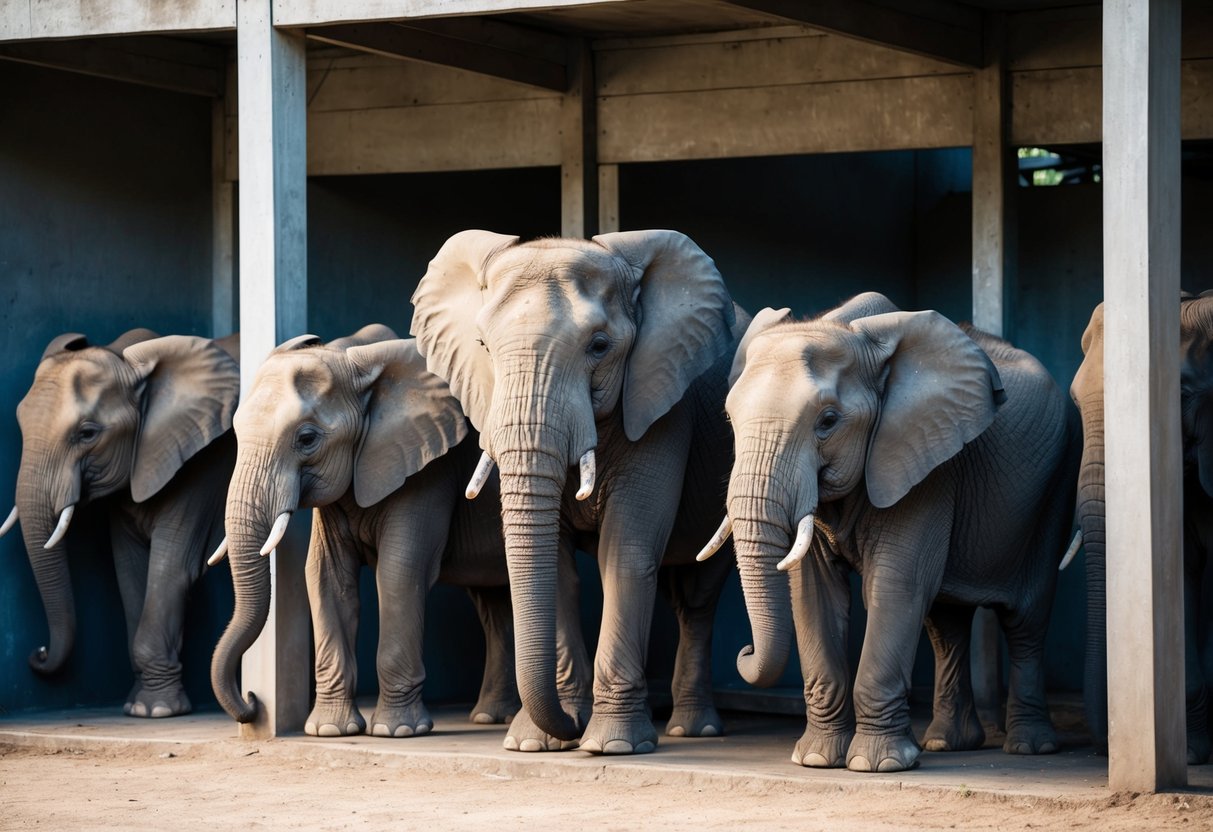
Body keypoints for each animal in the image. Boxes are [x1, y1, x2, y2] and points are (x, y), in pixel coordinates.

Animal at [3, 328, 240, 717]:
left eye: (87, 434)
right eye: (20, 424)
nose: (38, 653)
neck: (128, 361)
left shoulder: (203, 463)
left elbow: (170, 567)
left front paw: (154, 711)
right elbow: (129, 567)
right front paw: (137, 705)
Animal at [209, 325, 592, 746]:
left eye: (306, 439)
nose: (251, 702)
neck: (350, 358)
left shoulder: (430, 467)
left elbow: (399, 572)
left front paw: (397, 731)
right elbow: (326, 576)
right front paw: (329, 730)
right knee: (493, 603)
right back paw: (490, 717)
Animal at [410, 229, 743, 755]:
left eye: (599, 346)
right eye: (482, 345)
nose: (570, 723)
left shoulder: (663, 401)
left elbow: (626, 552)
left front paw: (612, 746)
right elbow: (558, 567)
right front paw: (535, 744)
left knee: (697, 596)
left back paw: (694, 730)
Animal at [698, 292, 1081, 772]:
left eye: (827, 421)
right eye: (730, 421)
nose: (744, 653)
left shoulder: (928, 461)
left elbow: (897, 583)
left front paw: (875, 765)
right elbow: (813, 591)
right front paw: (817, 759)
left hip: (1057, 482)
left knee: (1026, 617)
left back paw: (1030, 747)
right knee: (946, 623)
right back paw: (946, 743)